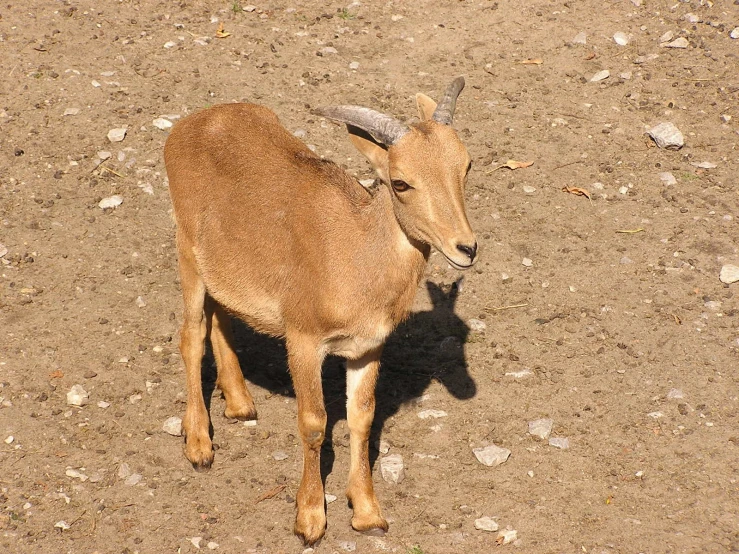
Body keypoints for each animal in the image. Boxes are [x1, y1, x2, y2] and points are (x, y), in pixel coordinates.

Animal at [164, 77, 476, 544]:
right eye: (400, 182)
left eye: (467, 165)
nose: (466, 248)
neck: (355, 254)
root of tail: (186, 127)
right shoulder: (304, 339)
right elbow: (314, 422)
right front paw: (309, 518)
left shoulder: (367, 348)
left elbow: (362, 418)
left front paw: (367, 512)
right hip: (188, 252)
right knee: (190, 335)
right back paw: (199, 443)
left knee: (222, 311)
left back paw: (239, 401)